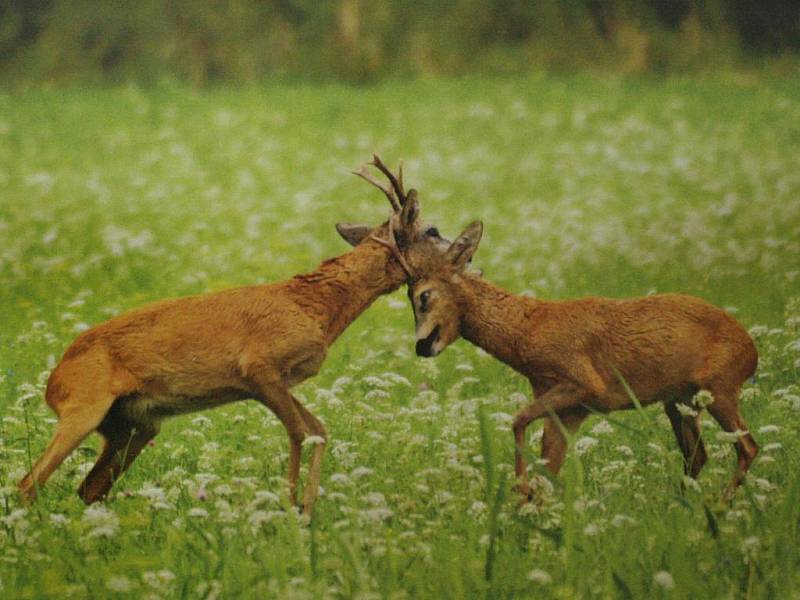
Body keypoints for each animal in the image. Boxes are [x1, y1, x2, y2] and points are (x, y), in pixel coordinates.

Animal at [17, 156, 450, 516]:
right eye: (433, 229)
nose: (462, 256)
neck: (318, 307)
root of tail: (53, 381)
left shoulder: (280, 380)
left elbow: (319, 430)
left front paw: (307, 509)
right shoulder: (258, 367)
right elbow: (300, 432)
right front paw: (290, 508)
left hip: (134, 424)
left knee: (88, 489)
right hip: (84, 406)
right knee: (29, 481)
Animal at [404, 220, 760, 502]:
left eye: (423, 295)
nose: (421, 346)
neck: (528, 329)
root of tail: (752, 352)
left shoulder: (584, 383)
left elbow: (518, 420)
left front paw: (522, 492)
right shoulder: (567, 409)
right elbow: (548, 466)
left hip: (719, 387)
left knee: (748, 446)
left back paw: (720, 507)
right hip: (680, 401)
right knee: (698, 456)